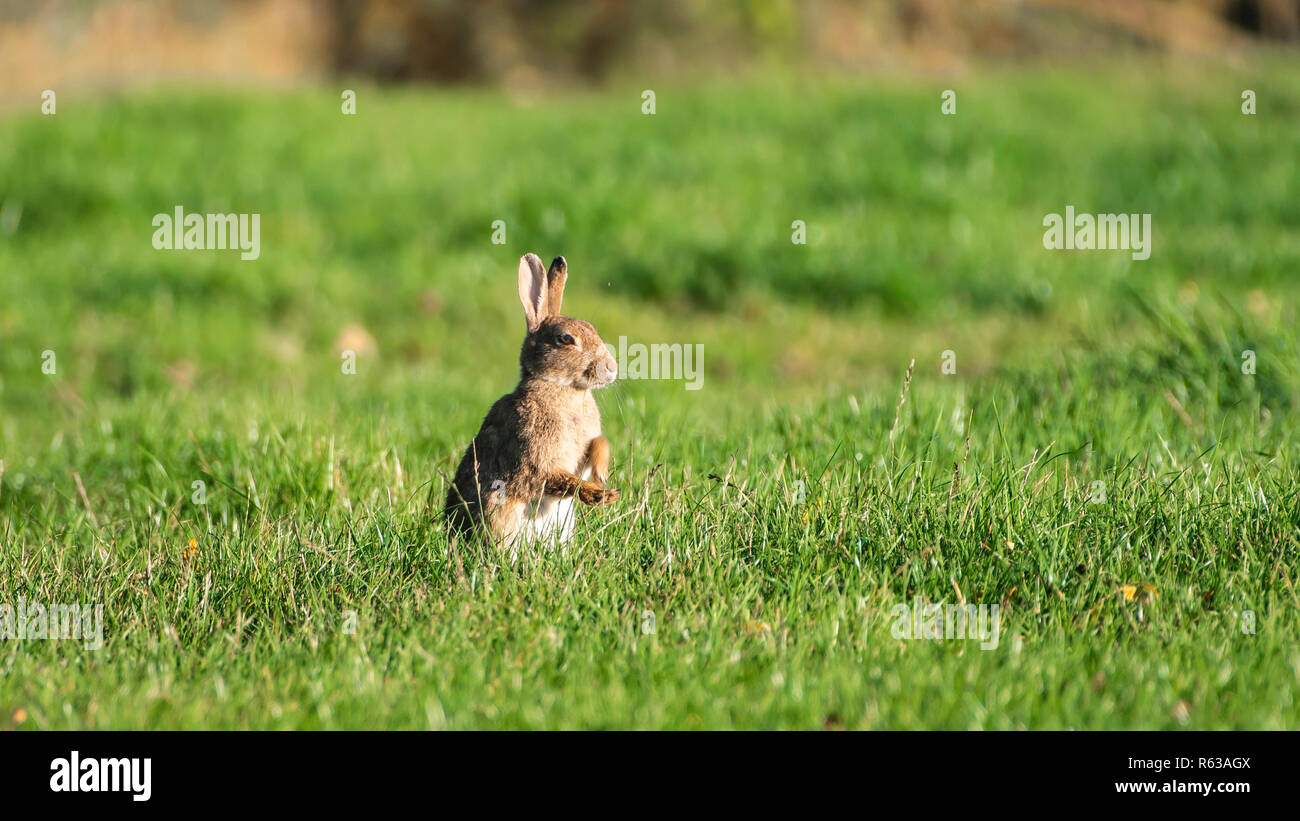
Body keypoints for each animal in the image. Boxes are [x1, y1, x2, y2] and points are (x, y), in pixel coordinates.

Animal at [447, 253, 618, 548]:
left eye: (593, 329)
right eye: (566, 339)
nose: (611, 368)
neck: (562, 388)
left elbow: (599, 443)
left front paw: (602, 474)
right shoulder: (534, 461)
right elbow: (559, 479)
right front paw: (600, 495)